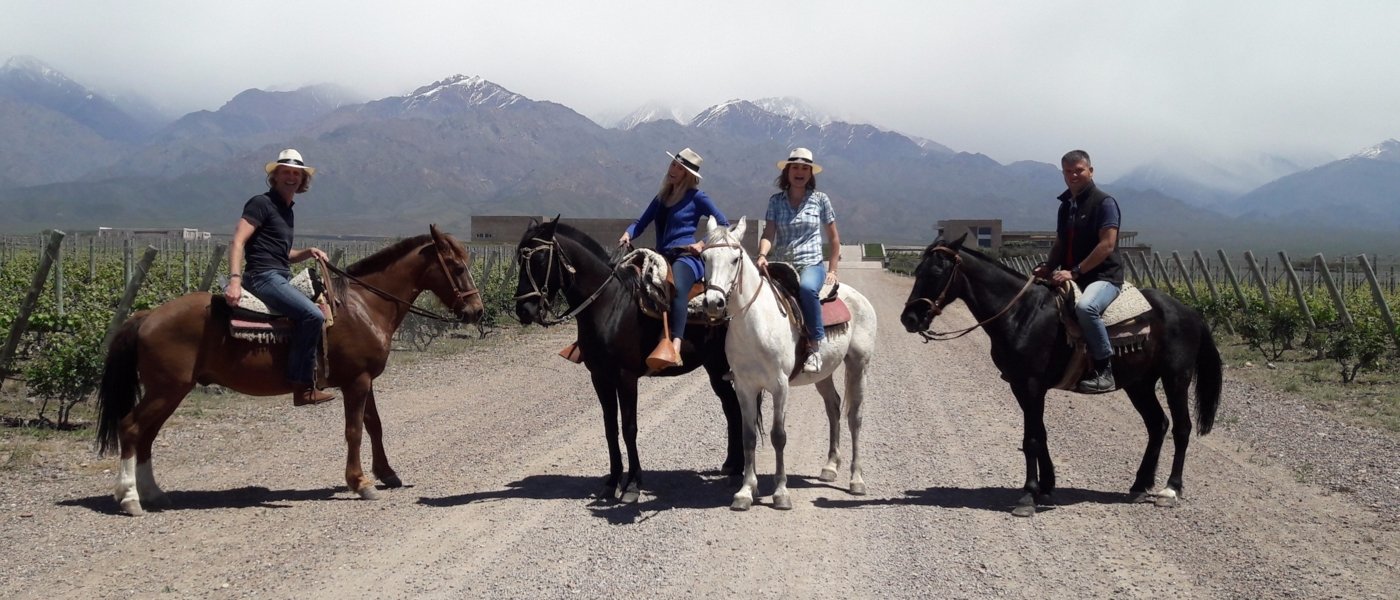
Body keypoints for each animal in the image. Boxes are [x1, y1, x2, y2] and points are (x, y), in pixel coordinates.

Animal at [95, 223, 481, 514]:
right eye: (457, 267)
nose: (476, 311)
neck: (363, 305)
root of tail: (148, 316)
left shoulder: (365, 380)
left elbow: (375, 425)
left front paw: (387, 474)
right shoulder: (356, 381)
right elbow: (354, 430)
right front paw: (360, 483)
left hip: (170, 391)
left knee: (146, 435)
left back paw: (154, 493)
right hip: (166, 389)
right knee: (131, 428)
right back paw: (130, 498)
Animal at [509, 218, 739, 500]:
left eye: (541, 259)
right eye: (519, 259)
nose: (524, 310)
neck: (610, 305)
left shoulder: (626, 377)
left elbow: (629, 428)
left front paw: (632, 485)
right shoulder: (600, 377)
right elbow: (610, 428)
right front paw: (612, 481)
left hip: (722, 365)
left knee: (736, 407)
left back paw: (738, 469)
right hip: (714, 368)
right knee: (730, 407)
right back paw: (731, 464)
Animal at [697, 216, 873, 509]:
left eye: (735, 259)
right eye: (704, 257)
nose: (713, 302)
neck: (755, 323)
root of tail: (858, 298)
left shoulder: (780, 386)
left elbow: (778, 436)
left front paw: (780, 493)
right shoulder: (744, 387)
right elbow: (748, 436)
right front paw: (745, 491)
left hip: (859, 365)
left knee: (855, 417)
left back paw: (856, 480)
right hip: (823, 374)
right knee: (833, 407)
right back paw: (830, 467)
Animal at [901, 233, 1220, 514]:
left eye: (938, 271)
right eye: (918, 270)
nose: (910, 319)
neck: (1021, 313)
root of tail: (1190, 312)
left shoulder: (1031, 385)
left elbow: (1031, 438)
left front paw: (1028, 495)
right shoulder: (1020, 386)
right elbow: (1039, 433)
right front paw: (1046, 485)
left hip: (1176, 378)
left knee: (1181, 428)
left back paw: (1170, 489)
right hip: (1139, 384)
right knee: (1157, 425)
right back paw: (1140, 485)